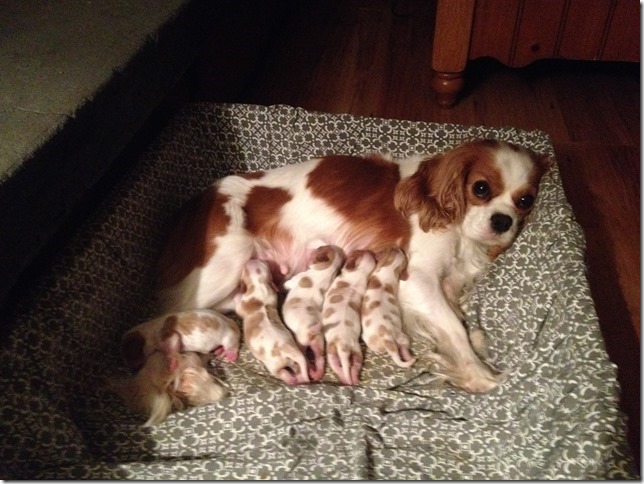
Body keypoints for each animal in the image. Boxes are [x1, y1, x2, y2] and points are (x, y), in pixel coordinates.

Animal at [280, 246, 344, 382]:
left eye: (320, 248)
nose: (316, 247)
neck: (328, 270)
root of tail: (312, 329)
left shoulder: (296, 279)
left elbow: (286, 284)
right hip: (319, 344)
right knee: (319, 359)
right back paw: (317, 373)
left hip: (301, 343)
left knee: (305, 358)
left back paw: (309, 371)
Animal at [322, 250, 378, 386]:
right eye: (362, 252)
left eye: (356, 253)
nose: (369, 250)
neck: (359, 273)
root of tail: (343, 347)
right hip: (355, 351)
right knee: (354, 365)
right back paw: (352, 379)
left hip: (334, 350)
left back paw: (346, 378)